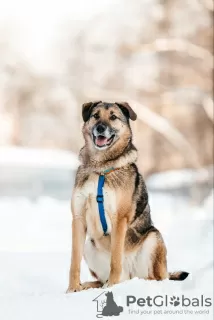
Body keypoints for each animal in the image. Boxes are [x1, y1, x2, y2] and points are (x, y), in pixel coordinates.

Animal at [66, 100, 188, 292]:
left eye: (113, 117)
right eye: (95, 116)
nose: (100, 128)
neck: (101, 168)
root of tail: (130, 276)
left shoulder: (119, 219)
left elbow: (116, 258)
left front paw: (112, 285)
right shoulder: (78, 218)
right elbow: (74, 262)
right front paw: (72, 289)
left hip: (153, 238)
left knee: (156, 278)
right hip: (89, 246)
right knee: (102, 280)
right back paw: (90, 285)